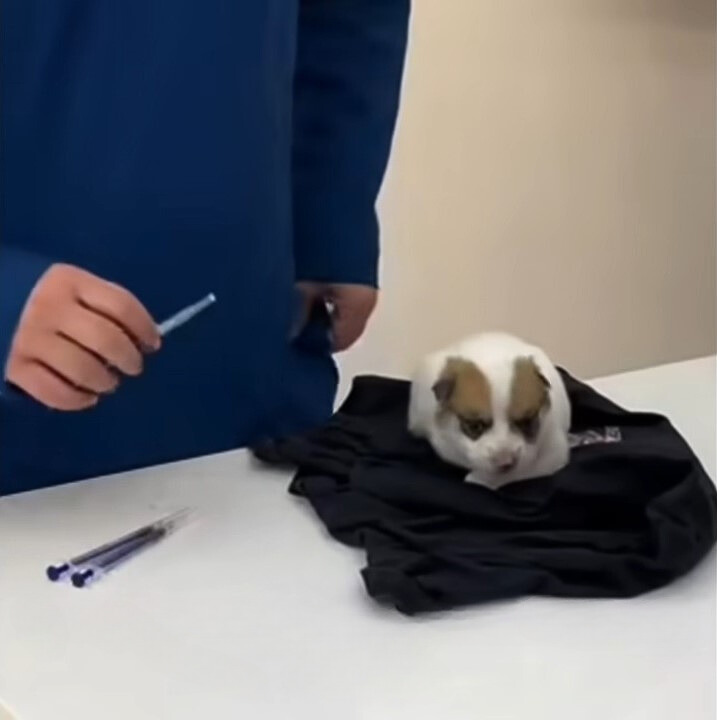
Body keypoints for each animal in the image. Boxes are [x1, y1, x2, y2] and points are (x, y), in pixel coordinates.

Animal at [408, 332, 572, 490]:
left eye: (527, 422)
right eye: (475, 426)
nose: (505, 462)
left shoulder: (552, 452)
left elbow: (522, 470)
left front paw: (480, 478)